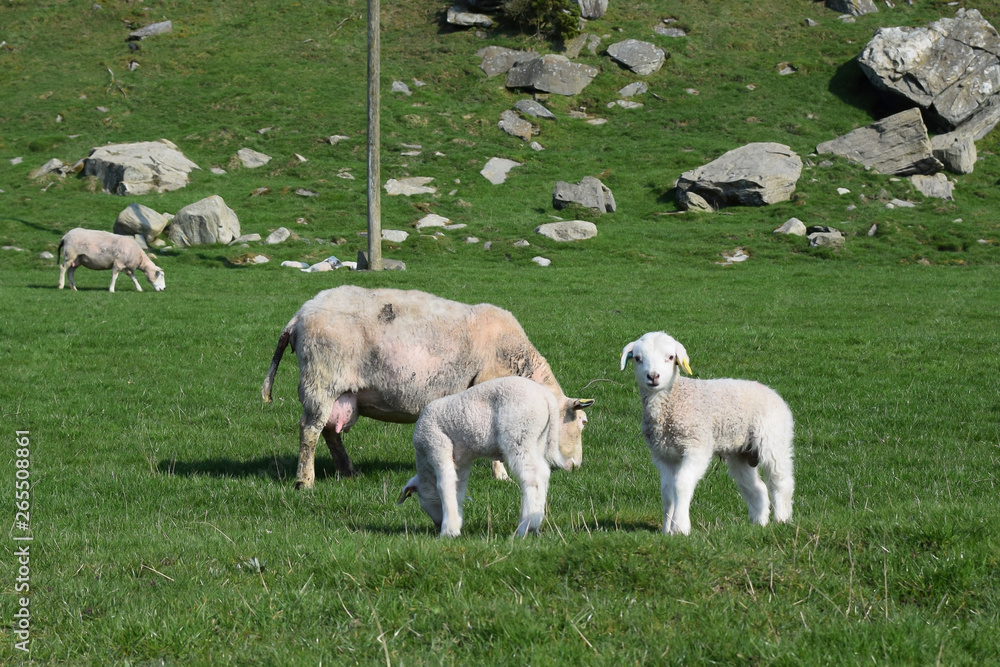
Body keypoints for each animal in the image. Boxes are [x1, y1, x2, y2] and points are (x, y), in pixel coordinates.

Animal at [262, 286, 593, 489]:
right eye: (582, 422)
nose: (577, 466)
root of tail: (299, 316)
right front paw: (501, 477)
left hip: (341, 393)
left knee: (330, 432)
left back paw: (348, 471)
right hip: (321, 379)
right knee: (310, 431)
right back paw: (305, 482)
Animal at [398, 376, 572, 537]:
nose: (437, 524)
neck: (424, 463)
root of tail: (546, 397)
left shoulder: (437, 445)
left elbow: (445, 485)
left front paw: (449, 531)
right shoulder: (462, 461)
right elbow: (458, 488)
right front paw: (457, 522)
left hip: (519, 433)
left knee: (532, 477)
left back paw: (525, 527)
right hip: (537, 439)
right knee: (543, 472)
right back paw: (534, 524)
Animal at [620, 331, 794, 535]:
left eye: (670, 357)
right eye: (638, 358)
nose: (653, 376)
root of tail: (774, 393)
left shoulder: (697, 446)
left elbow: (681, 484)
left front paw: (680, 527)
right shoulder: (662, 454)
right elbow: (667, 491)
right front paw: (666, 530)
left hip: (774, 438)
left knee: (781, 481)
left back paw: (782, 520)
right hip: (741, 452)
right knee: (756, 488)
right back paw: (759, 523)